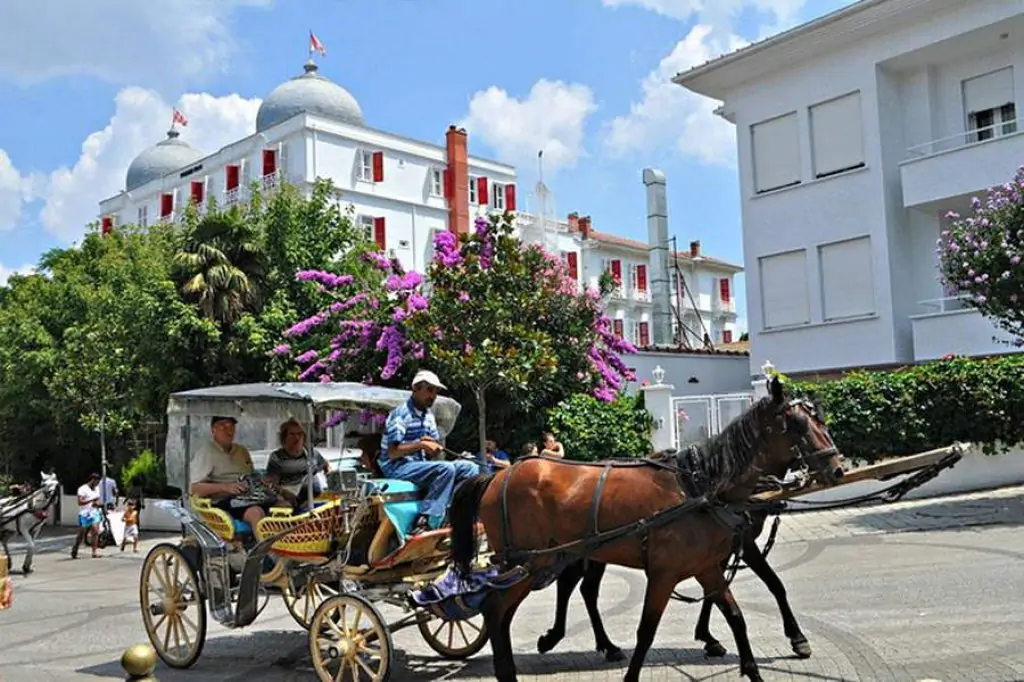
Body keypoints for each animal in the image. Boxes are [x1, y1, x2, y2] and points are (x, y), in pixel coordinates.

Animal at [452, 376, 843, 679]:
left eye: (821, 421)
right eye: (798, 426)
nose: (837, 468)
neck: (701, 488)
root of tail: (495, 476)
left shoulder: (707, 566)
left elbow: (735, 615)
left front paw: (742, 660)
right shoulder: (666, 573)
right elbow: (647, 631)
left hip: (554, 559)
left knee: (549, 599)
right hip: (528, 563)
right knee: (498, 610)